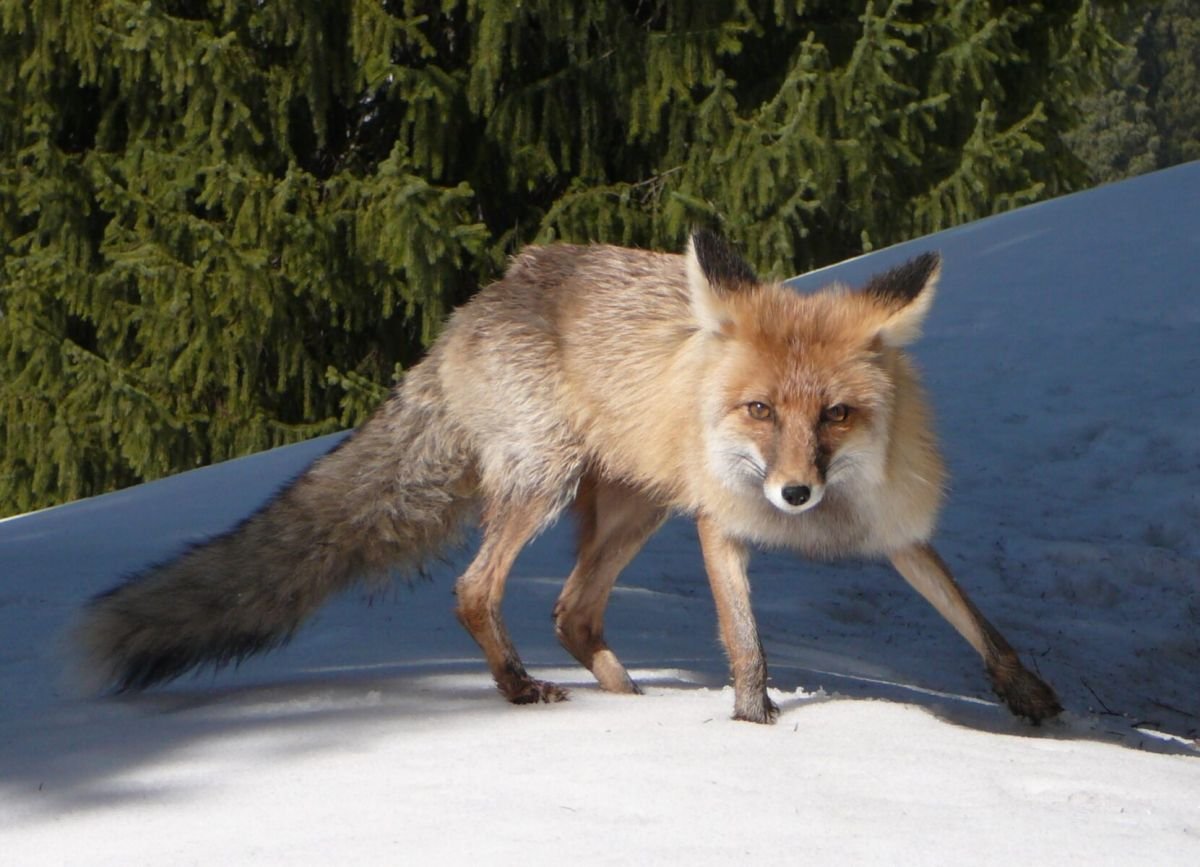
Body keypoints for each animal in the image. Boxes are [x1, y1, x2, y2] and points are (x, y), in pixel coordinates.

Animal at [79, 228, 1065, 720]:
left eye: (835, 415)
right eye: (758, 410)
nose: (794, 492)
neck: (816, 527)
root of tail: (470, 309)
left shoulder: (893, 529)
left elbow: (974, 619)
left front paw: (1028, 695)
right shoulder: (719, 525)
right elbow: (746, 642)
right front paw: (752, 724)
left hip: (633, 511)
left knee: (571, 610)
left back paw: (624, 704)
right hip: (547, 482)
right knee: (479, 590)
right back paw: (522, 691)